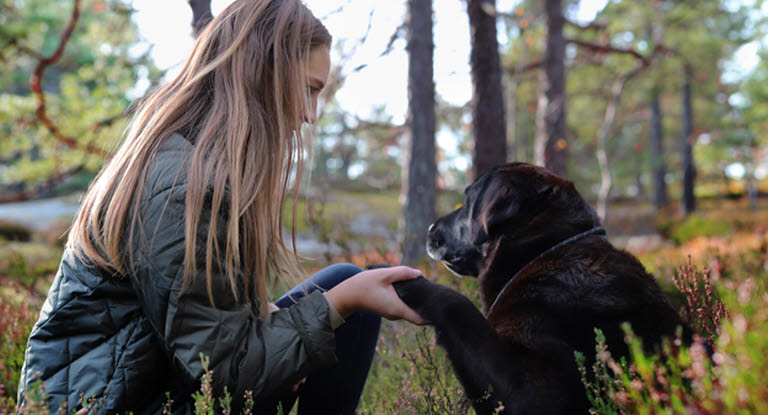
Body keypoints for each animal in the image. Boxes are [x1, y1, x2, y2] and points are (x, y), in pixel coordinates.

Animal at [396, 164, 688, 414]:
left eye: (467, 203)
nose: (429, 228)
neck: (541, 251)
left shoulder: (530, 394)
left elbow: (457, 304)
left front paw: (407, 281)